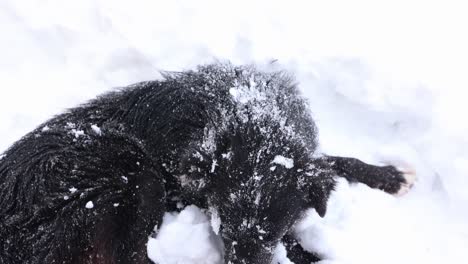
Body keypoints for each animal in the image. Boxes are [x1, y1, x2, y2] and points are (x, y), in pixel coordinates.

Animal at [0, 64, 414, 264]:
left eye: (269, 235)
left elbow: (331, 160)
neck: (246, 117)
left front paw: (390, 176)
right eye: (222, 233)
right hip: (133, 172)